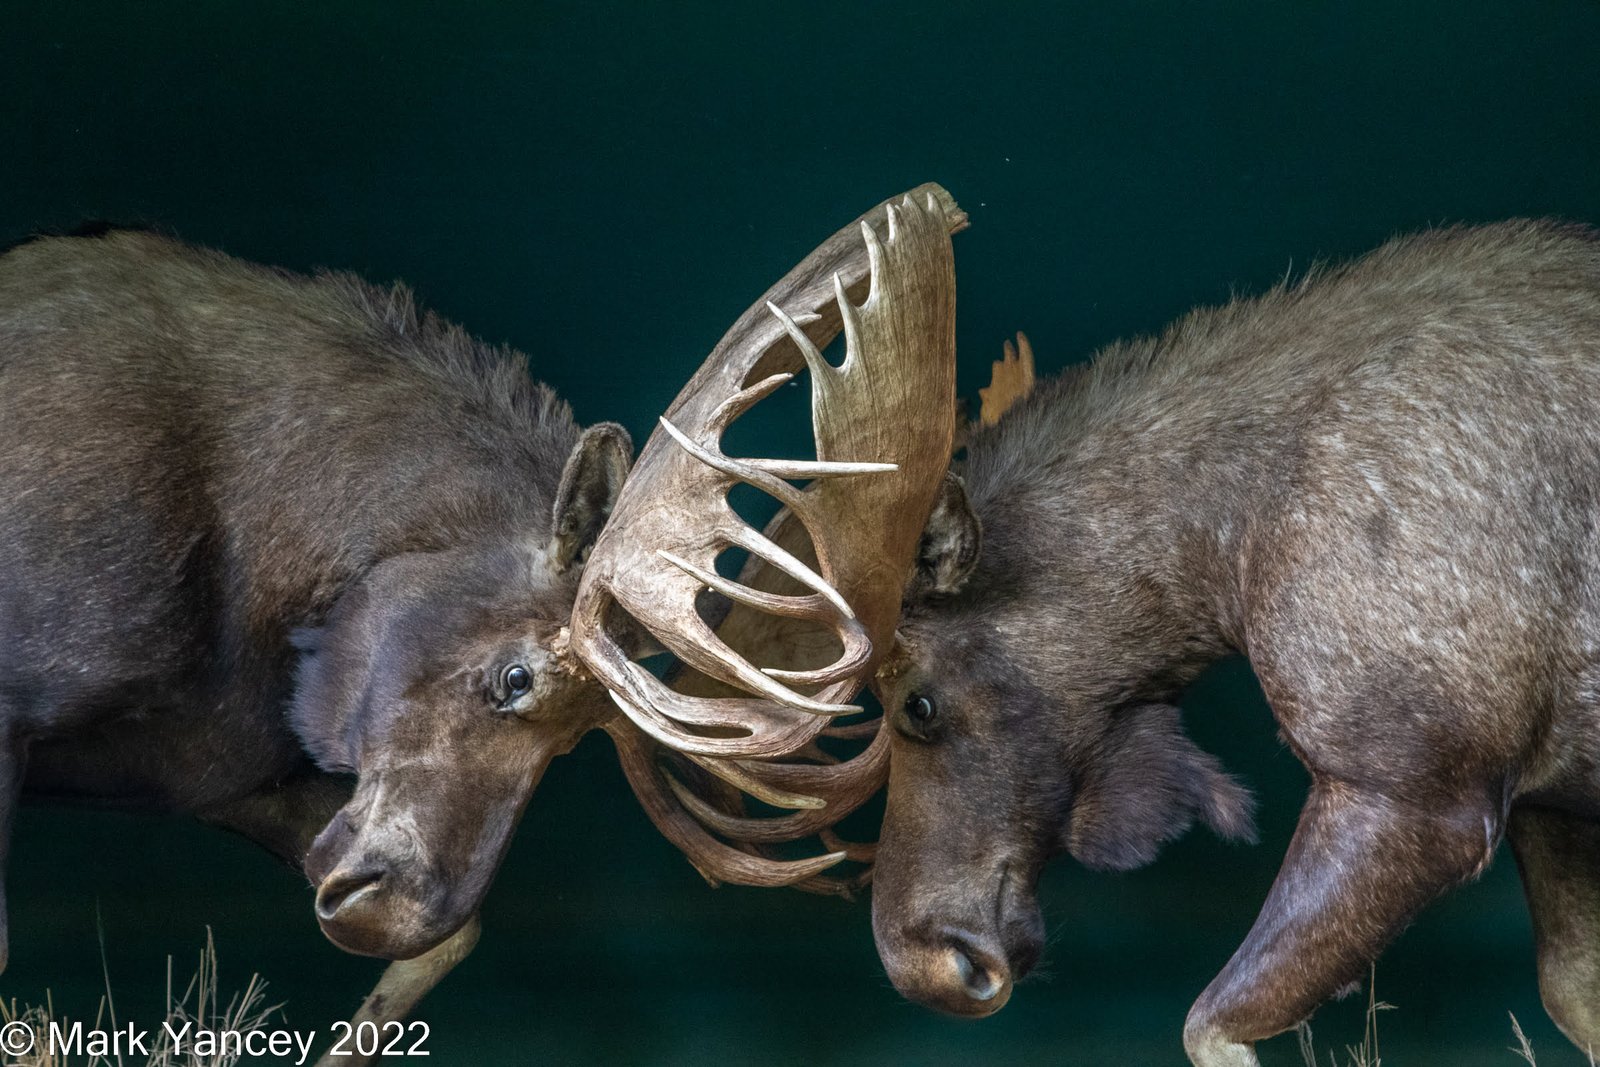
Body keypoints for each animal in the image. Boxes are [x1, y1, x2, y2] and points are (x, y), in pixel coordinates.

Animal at [862, 221, 1600, 1066]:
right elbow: (1572, 991)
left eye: (916, 702)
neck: (1224, 547)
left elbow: (1210, 1023)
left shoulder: (1416, 789)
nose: (924, 962)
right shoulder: (1549, 802)